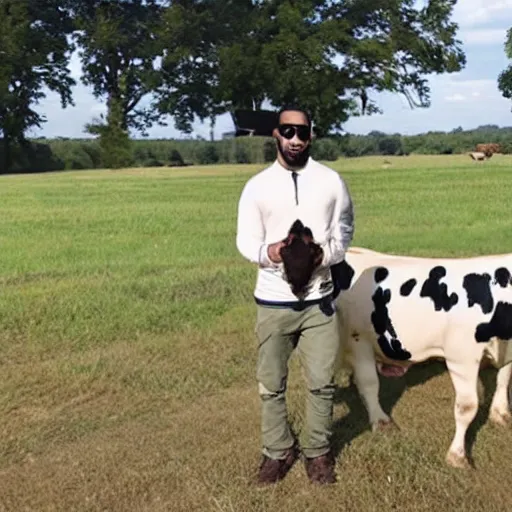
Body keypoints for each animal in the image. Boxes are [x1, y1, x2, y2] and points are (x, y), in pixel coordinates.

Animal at [332, 247, 512, 468]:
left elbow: (503, 380)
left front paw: (501, 414)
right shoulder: (461, 357)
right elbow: (467, 407)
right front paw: (457, 455)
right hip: (358, 340)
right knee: (368, 383)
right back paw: (381, 421)